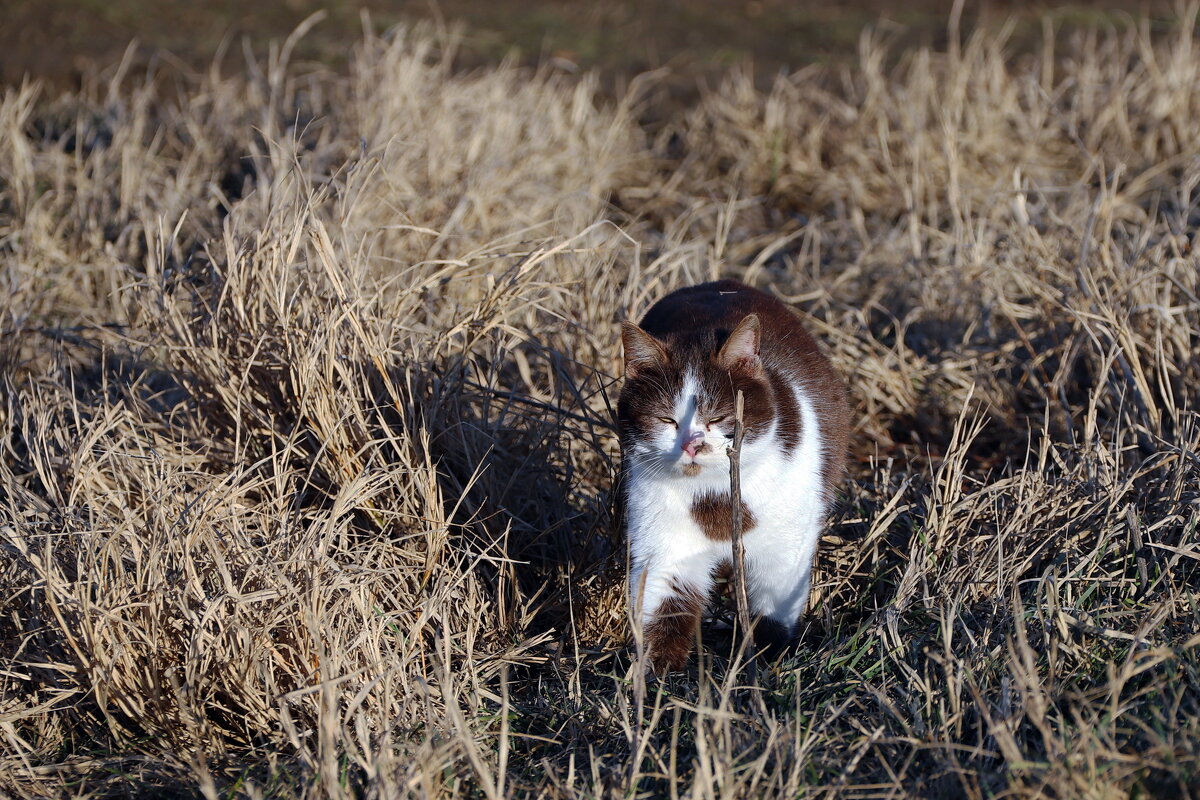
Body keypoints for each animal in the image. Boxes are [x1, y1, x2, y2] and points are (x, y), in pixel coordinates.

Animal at [619, 278, 854, 671]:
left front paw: (766, 660)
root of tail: (722, 283)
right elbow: (663, 608)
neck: (714, 496)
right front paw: (654, 676)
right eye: (666, 419)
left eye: (718, 417)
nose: (692, 445)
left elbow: (774, 608)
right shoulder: (665, 546)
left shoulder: (786, 547)